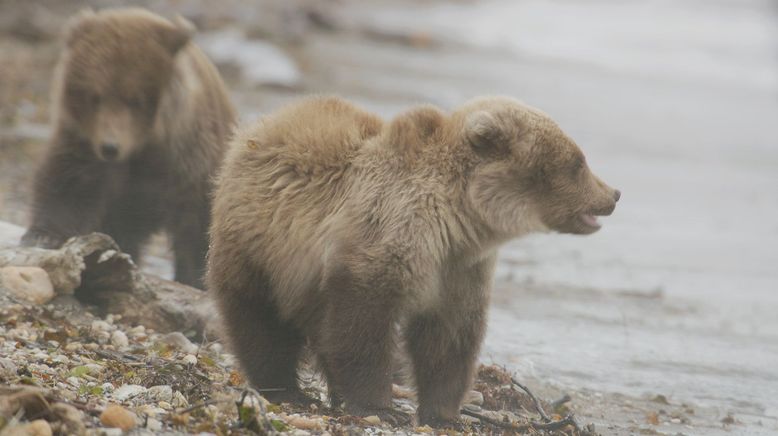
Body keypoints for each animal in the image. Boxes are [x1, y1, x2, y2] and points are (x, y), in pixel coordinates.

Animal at [22, 7, 235, 290]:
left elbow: (197, 217)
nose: (110, 147)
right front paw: (42, 236)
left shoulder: (186, 155)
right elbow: (67, 185)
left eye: (135, 99)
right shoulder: (82, 145)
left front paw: (196, 275)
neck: (143, 148)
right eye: (95, 95)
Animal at [206, 96, 620, 426]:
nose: (614, 193)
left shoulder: (460, 269)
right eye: (577, 162)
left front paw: (444, 414)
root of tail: (259, 126)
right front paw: (379, 406)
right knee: (261, 319)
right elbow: (364, 323)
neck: (458, 220)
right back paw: (284, 388)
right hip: (260, 242)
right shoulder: (388, 233)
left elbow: (449, 338)